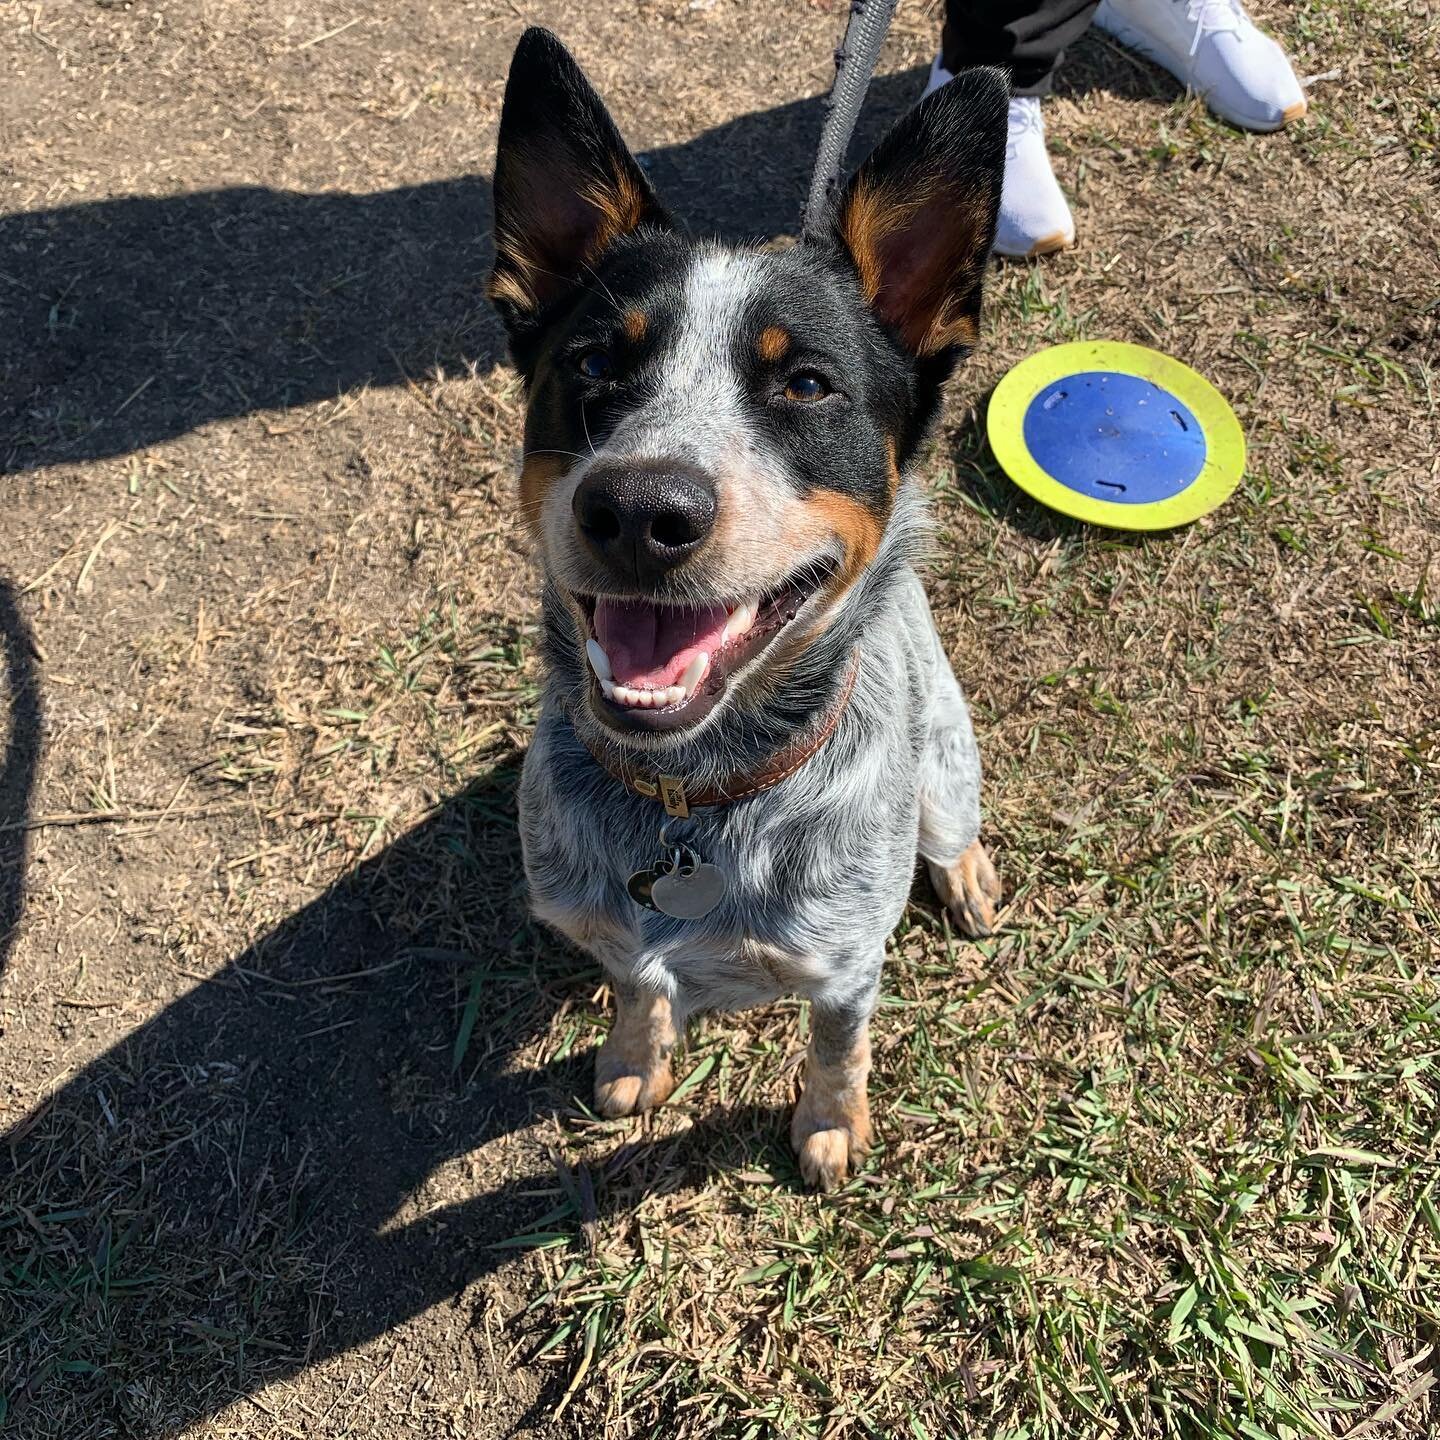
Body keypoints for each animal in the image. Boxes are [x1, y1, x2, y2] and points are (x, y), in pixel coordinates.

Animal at [489, 28, 1008, 1186]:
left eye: (807, 384)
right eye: (593, 361)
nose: (640, 510)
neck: (698, 801)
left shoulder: (844, 967)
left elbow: (837, 1047)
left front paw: (828, 1127)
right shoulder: (613, 931)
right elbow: (636, 987)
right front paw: (633, 1060)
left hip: (948, 766)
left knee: (950, 826)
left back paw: (967, 876)